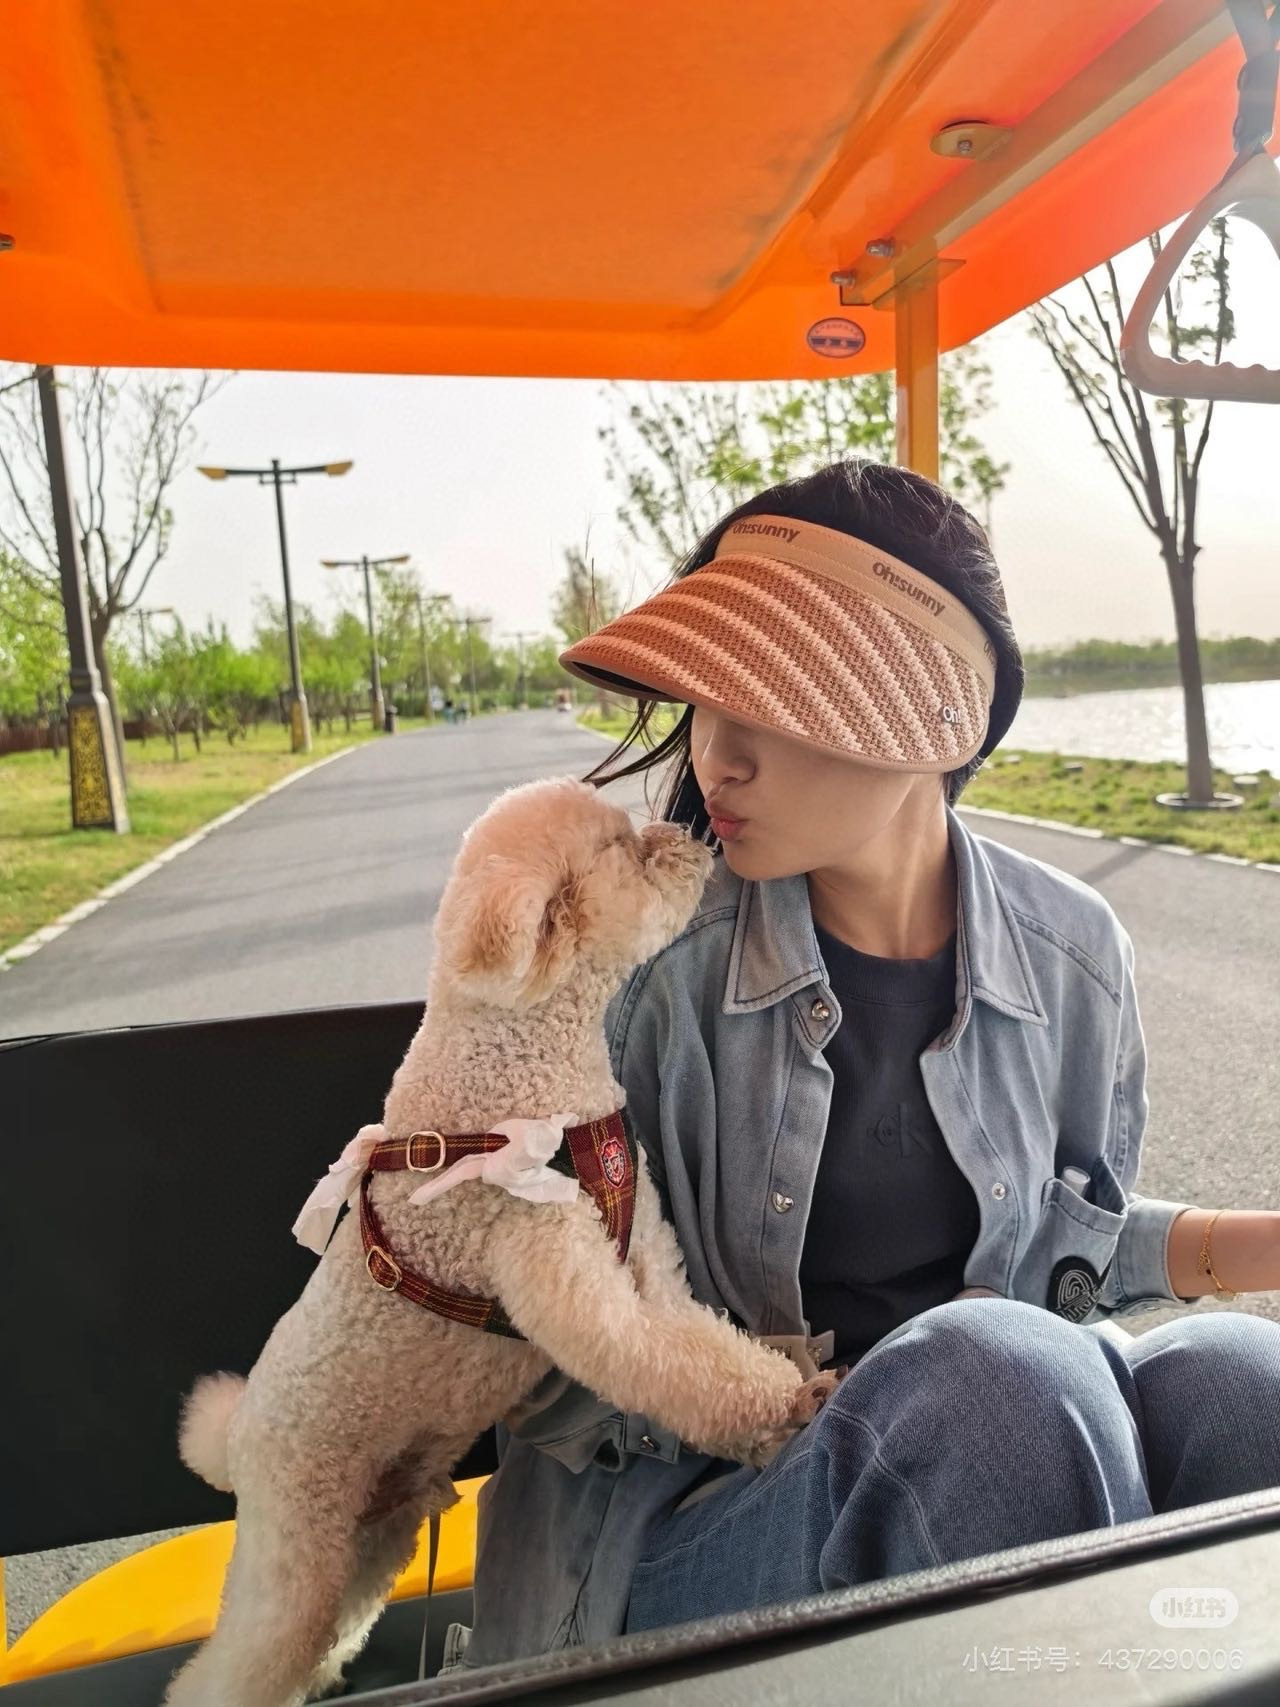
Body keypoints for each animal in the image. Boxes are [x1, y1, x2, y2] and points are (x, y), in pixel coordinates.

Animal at [164, 777, 835, 1707]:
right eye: (622, 848)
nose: (691, 837)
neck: (522, 1064)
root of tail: (238, 1432)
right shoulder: (558, 1268)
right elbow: (669, 1366)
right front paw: (782, 1411)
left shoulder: (644, 1257)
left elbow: (697, 1339)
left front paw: (785, 1382)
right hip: (296, 1532)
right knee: (248, 1657)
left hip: (377, 1523)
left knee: (336, 1618)